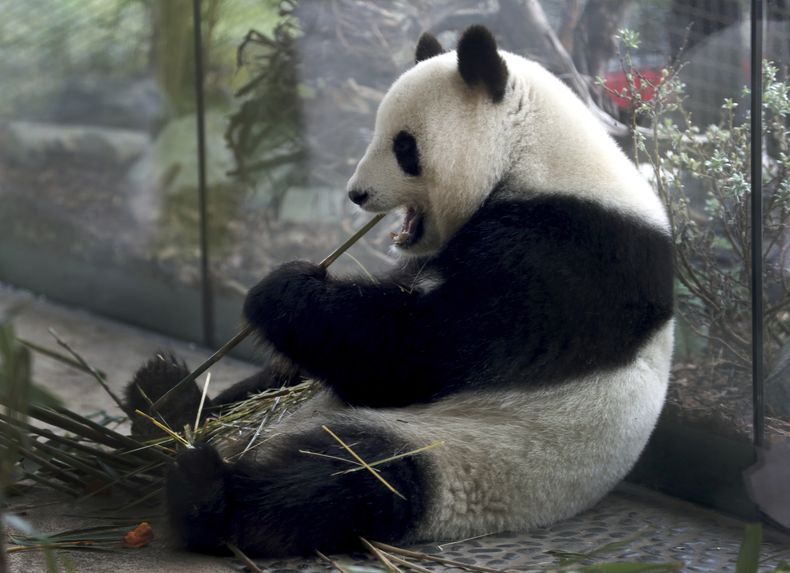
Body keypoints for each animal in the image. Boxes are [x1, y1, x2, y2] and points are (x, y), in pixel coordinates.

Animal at [127, 25, 674, 557]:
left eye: (404, 146)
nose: (357, 194)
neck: (538, 155)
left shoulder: (566, 259)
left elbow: (418, 352)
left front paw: (279, 288)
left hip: (465, 453)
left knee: (347, 478)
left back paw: (204, 488)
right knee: (270, 387)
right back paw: (162, 400)